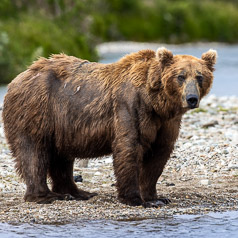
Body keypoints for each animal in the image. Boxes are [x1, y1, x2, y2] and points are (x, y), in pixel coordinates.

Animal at [2, 47, 218, 207]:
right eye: (180, 76)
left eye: (200, 76)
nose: (191, 98)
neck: (156, 102)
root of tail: (17, 78)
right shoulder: (130, 106)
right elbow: (130, 147)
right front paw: (135, 199)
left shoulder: (166, 122)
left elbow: (158, 154)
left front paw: (156, 197)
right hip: (37, 109)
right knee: (34, 152)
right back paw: (45, 196)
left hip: (63, 124)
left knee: (61, 157)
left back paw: (77, 192)